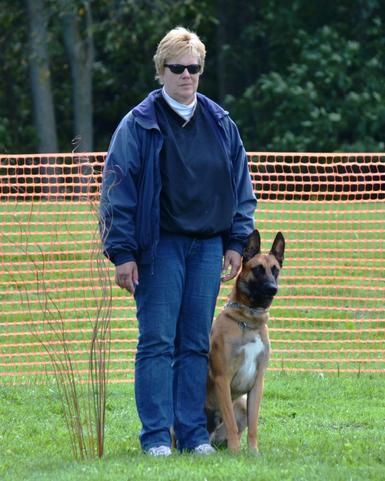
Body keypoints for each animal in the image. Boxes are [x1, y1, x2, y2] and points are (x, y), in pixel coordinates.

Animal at [206, 229, 284, 454]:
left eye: (275, 270)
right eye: (258, 269)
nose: (273, 288)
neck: (248, 321)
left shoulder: (258, 382)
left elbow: (254, 425)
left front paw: (253, 452)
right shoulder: (222, 379)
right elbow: (231, 423)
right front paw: (235, 452)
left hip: (240, 403)